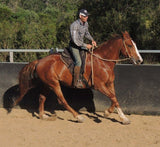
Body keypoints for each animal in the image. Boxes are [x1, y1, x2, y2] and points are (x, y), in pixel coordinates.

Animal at [13, 30, 143, 124]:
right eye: (130, 45)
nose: (139, 60)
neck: (103, 62)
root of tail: (39, 61)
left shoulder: (109, 84)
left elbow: (114, 98)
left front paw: (116, 115)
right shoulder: (100, 85)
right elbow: (113, 97)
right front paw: (114, 116)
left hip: (47, 84)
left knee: (41, 98)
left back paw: (43, 115)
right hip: (54, 84)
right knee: (62, 100)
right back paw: (78, 117)